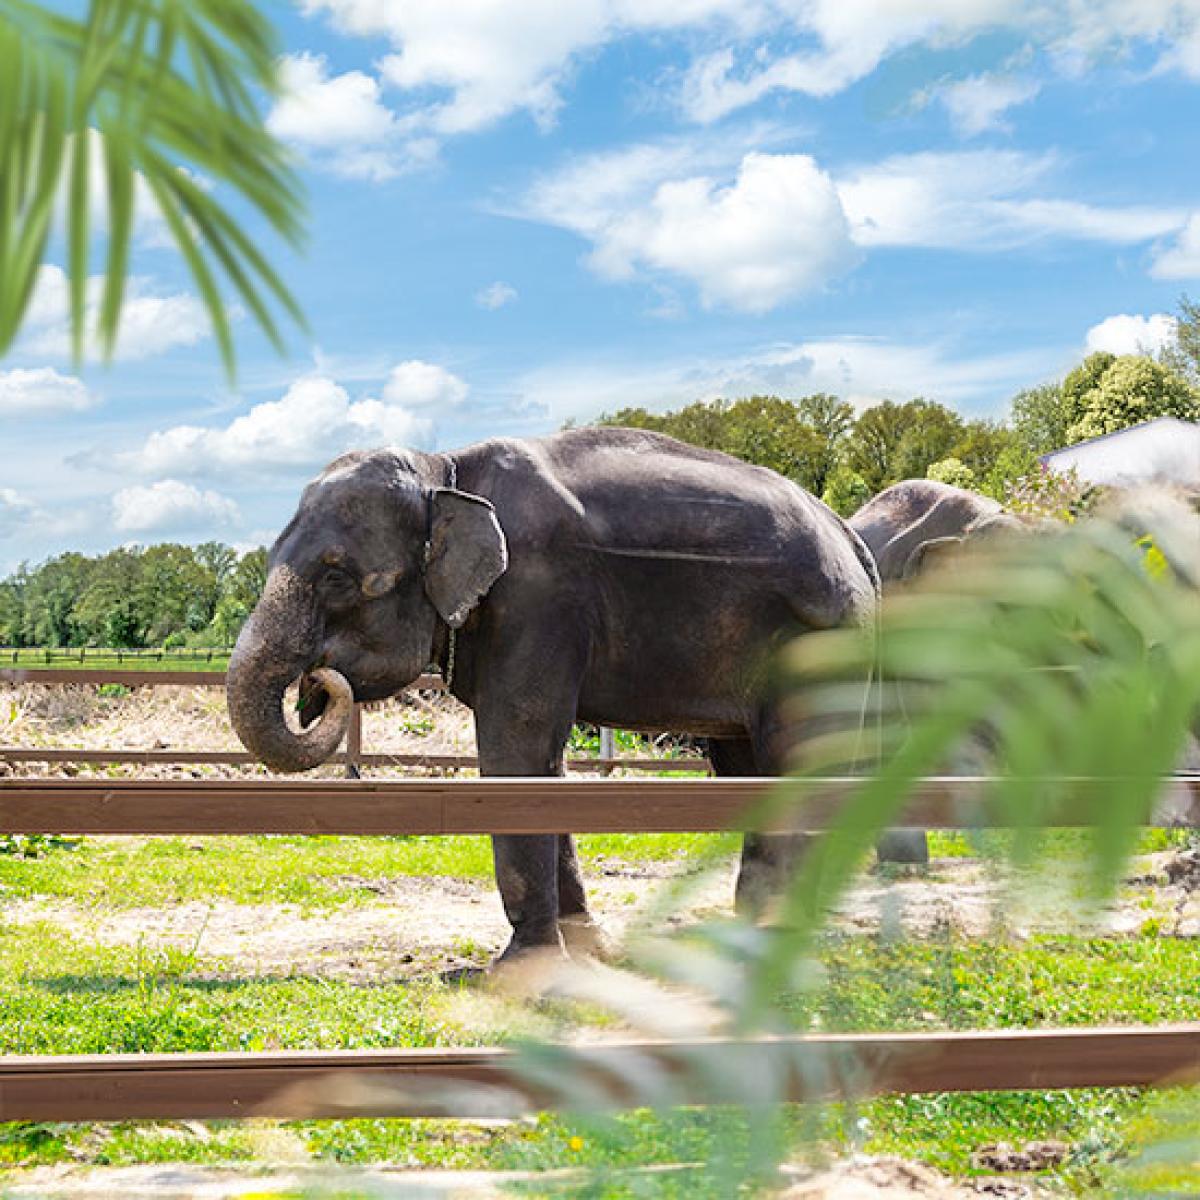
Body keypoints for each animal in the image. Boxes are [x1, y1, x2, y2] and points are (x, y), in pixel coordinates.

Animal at [225, 427, 878, 960]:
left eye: (336, 577)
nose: (319, 680)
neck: (446, 471)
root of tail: (850, 538)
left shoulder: (539, 592)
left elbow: (518, 743)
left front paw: (521, 971)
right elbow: (544, 762)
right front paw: (587, 951)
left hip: (820, 640)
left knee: (801, 762)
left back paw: (779, 936)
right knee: (748, 767)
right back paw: (747, 936)